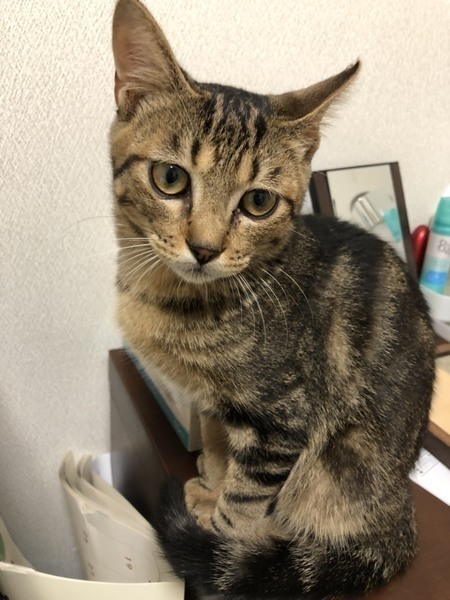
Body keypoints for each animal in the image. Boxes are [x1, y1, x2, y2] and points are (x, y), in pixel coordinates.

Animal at [110, 1, 435, 598]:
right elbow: (218, 447)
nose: (205, 248)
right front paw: (209, 485)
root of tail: (400, 514)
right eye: (170, 178)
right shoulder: (214, 404)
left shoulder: (280, 422)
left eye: (258, 202)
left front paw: (218, 540)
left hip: (335, 471)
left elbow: (243, 502)